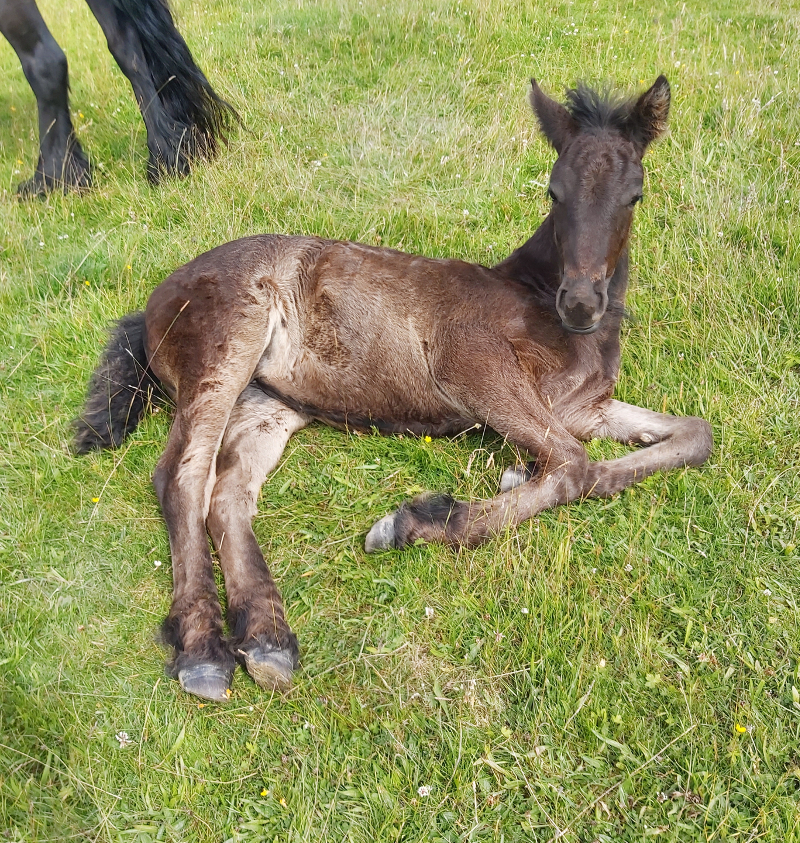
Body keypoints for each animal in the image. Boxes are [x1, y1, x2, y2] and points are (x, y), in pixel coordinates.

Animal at [75, 76, 712, 704]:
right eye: (554, 192)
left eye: (635, 194)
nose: (580, 302)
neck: (540, 303)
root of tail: (154, 301)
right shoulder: (473, 366)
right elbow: (575, 464)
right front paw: (416, 521)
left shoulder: (584, 407)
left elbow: (689, 436)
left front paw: (515, 473)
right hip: (227, 343)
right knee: (183, 475)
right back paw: (204, 649)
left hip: (267, 402)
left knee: (228, 493)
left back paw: (266, 638)